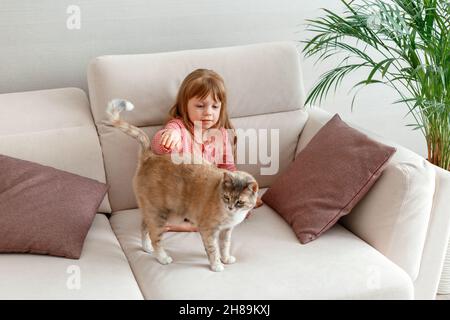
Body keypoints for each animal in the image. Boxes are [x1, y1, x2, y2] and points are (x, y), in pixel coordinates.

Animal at [104, 100, 256, 272]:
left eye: (239, 202)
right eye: (227, 197)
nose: (230, 207)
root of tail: (149, 156)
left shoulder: (226, 231)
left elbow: (225, 246)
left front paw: (226, 258)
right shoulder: (208, 230)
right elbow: (213, 249)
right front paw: (216, 265)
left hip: (152, 211)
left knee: (144, 227)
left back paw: (146, 248)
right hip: (160, 214)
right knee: (155, 236)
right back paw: (162, 258)